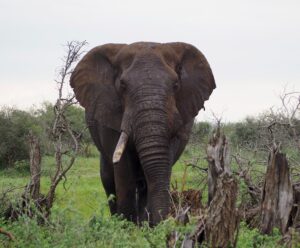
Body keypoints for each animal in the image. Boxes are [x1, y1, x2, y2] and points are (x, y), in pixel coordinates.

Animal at [70, 41, 216, 226]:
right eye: (122, 85)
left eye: (176, 85)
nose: (161, 223)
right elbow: (123, 170)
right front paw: (126, 227)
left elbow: (161, 167)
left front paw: (147, 226)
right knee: (108, 178)